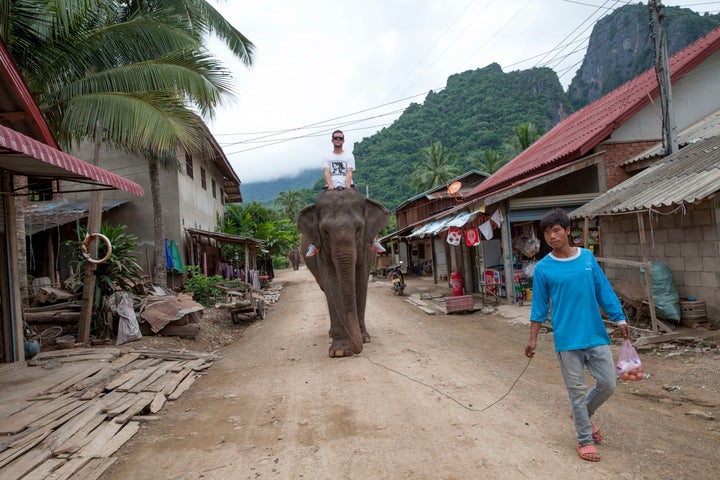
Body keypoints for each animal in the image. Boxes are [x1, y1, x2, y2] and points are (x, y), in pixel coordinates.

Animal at [296, 189, 390, 358]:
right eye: (325, 232)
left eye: (359, 229)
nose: (356, 349)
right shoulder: (322, 249)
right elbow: (331, 283)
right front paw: (339, 351)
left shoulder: (366, 247)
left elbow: (361, 280)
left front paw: (364, 339)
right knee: (325, 289)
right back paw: (332, 334)